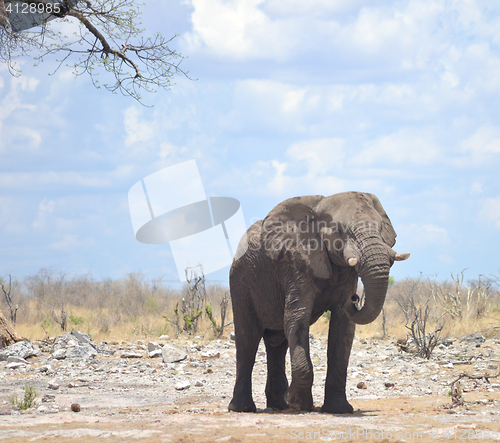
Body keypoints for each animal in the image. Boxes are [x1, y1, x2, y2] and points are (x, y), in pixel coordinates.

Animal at [229, 193, 408, 414]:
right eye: (340, 230)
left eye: (380, 227)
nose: (354, 298)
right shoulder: (296, 263)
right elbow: (297, 319)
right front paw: (297, 403)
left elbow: (343, 328)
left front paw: (339, 409)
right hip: (240, 282)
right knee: (248, 340)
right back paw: (243, 408)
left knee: (277, 343)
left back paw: (279, 405)